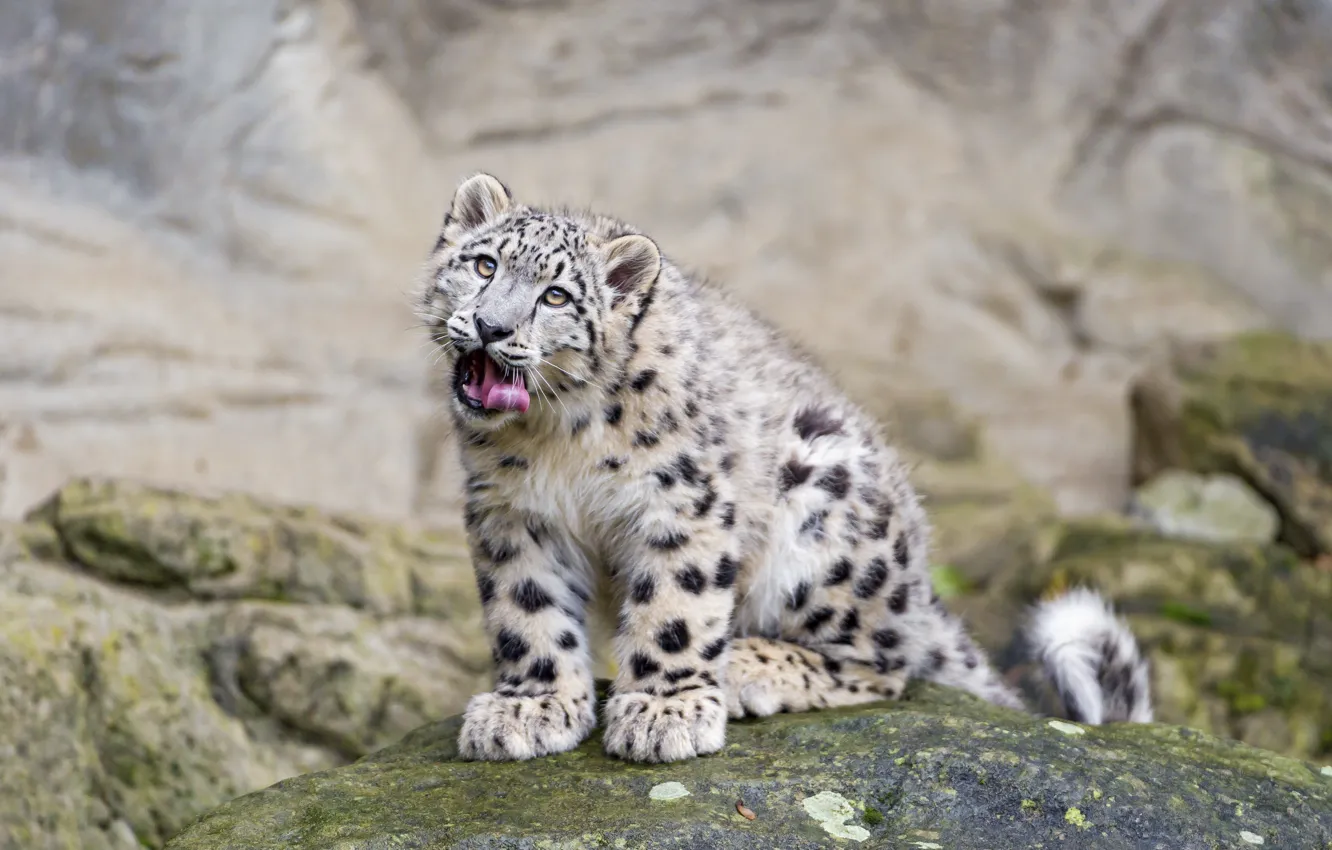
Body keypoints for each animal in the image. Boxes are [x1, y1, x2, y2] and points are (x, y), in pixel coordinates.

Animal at [416, 172, 1153, 764]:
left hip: (826, 503)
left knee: (886, 662)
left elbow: (676, 607)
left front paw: (662, 710)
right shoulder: (512, 512)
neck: (553, 438)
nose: (490, 326)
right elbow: (528, 610)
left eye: (558, 298)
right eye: (484, 264)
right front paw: (528, 707)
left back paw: (749, 665)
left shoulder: (681, 501)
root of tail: (919, 584)